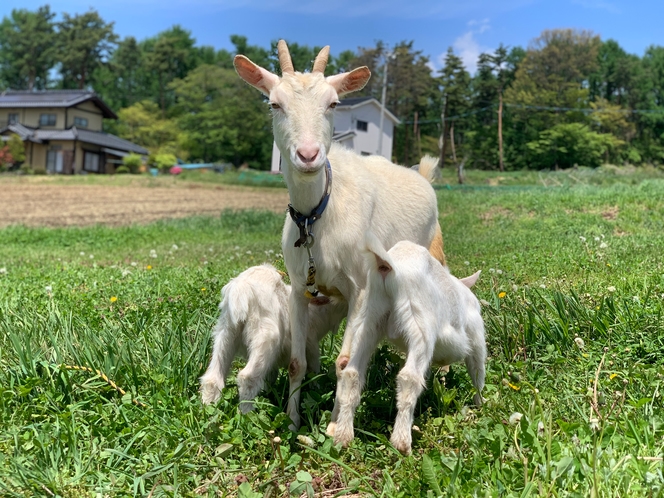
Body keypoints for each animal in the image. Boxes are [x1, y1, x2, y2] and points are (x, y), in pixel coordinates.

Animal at [233, 40, 446, 428]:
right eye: (274, 103)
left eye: (333, 103)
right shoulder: (299, 287)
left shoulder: (361, 287)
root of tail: (422, 176)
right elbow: (296, 362)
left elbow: (343, 362)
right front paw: (293, 421)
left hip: (431, 249)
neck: (317, 217)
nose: (308, 155)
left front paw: (333, 423)